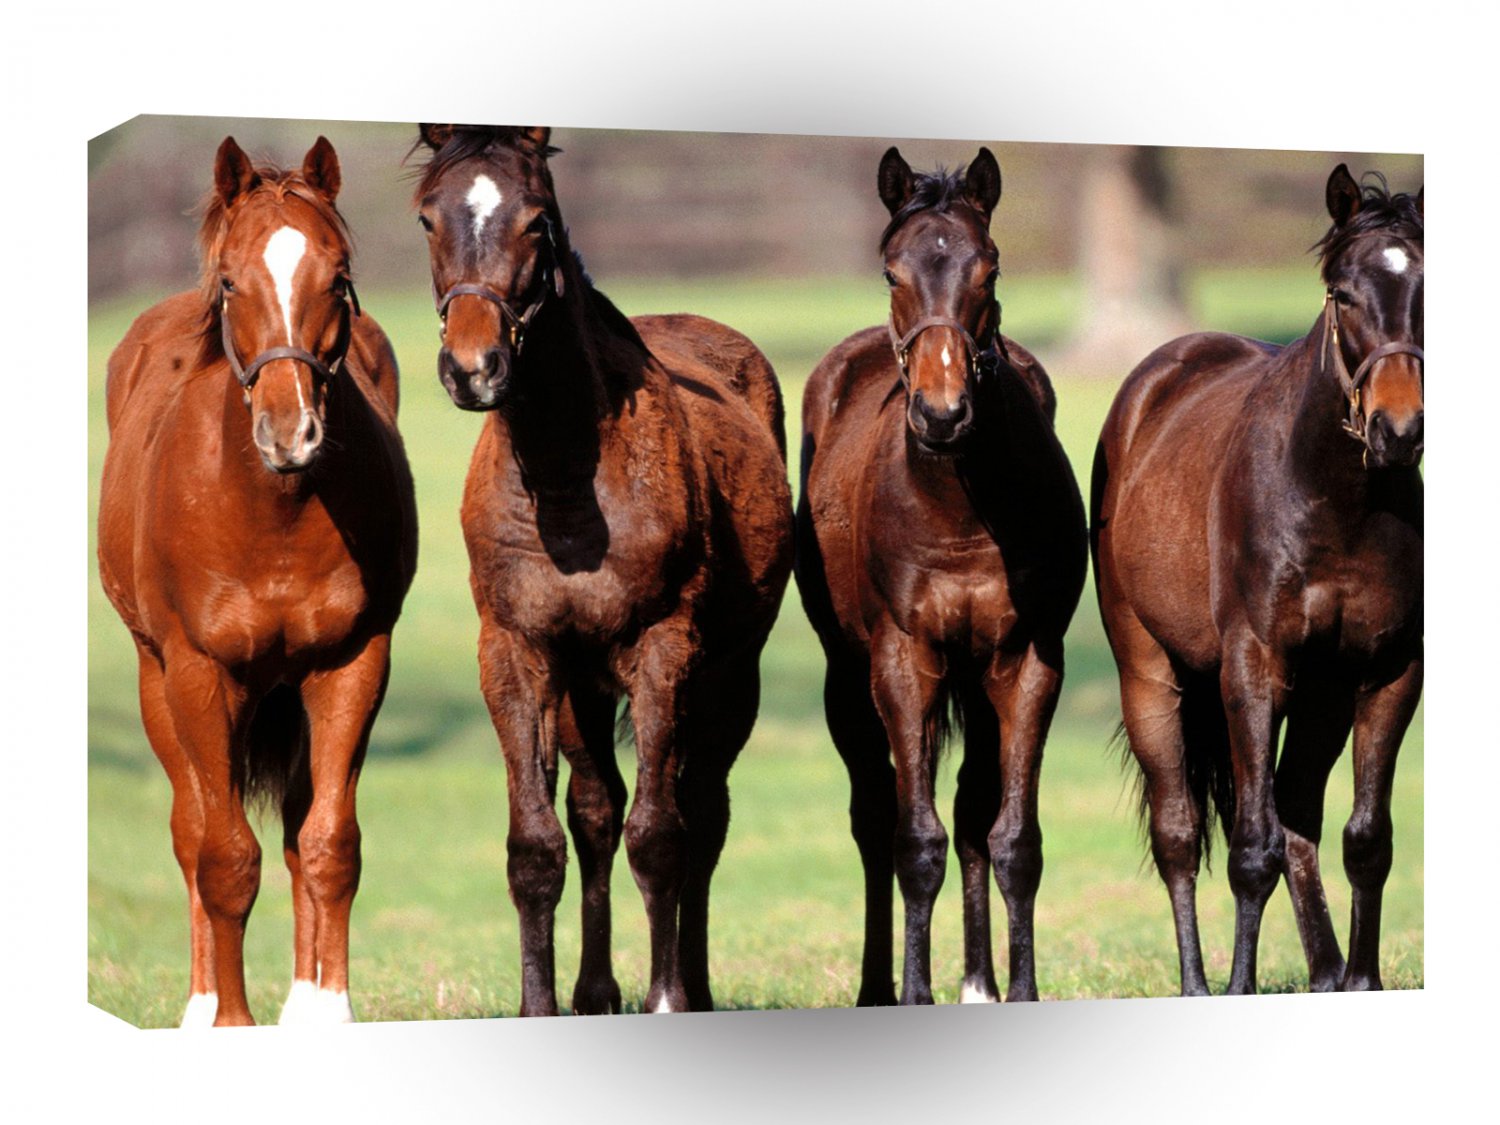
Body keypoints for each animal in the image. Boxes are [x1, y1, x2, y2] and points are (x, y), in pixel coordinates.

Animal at [97, 137, 418, 1026]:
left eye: (338, 276)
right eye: (234, 281)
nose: (289, 431)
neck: (270, 511)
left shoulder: (350, 663)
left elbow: (328, 843)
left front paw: (327, 1012)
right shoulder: (200, 673)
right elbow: (222, 855)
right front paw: (229, 1022)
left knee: (301, 828)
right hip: (159, 680)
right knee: (191, 830)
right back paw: (201, 1003)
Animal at [410, 124, 794, 1016]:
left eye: (537, 221)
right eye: (427, 218)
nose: (473, 367)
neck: (563, 479)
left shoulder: (664, 647)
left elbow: (660, 834)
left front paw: (667, 998)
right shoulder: (516, 652)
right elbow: (538, 843)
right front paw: (540, 1003)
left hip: (730, 675)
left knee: (700, 810)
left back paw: (693, 984)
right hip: (581, 686)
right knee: (595, 810)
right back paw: (593, 990)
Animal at [795, 147, 1088, 1005]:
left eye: (988, 269)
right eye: (892, 271)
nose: (942, 412)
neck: (959, 506)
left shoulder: (1026, 660)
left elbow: (1011, 836)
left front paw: (1017, 989)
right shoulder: (904, 659)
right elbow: (911, 838)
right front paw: (912, 990)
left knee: (972, 813)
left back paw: (980, 981)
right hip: (846, 675)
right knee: (873, 814)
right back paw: (875, 985)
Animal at [1090, 165, 1422, 995]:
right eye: (1342, 292)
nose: (1399, 430)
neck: (1337, 499)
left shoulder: (1389, 670)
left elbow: (1365, 838)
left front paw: (1361, 981)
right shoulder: (1253, 666)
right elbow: (1250, 849)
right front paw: (1237, 984)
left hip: (1323, 693)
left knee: (1300, 813)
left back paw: (1329, 972)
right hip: (1151, 673)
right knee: (1179, 832)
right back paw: (1198, 982)